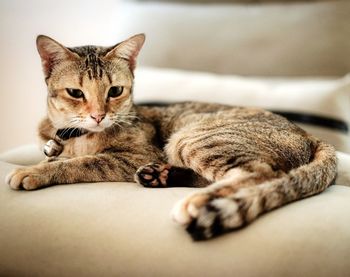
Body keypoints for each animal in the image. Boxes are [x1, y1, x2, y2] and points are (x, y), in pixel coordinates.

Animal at [5, 33, 338, 239]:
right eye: (76, 93)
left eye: (115, 91)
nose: (98, 115)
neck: (76, 136)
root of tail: (310, 136)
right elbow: (60, 156)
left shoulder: (134, 155)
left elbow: (80, 163)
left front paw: (36, 171)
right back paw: (161, 175)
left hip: (192, 138)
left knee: (263, 173)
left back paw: (195, 201)